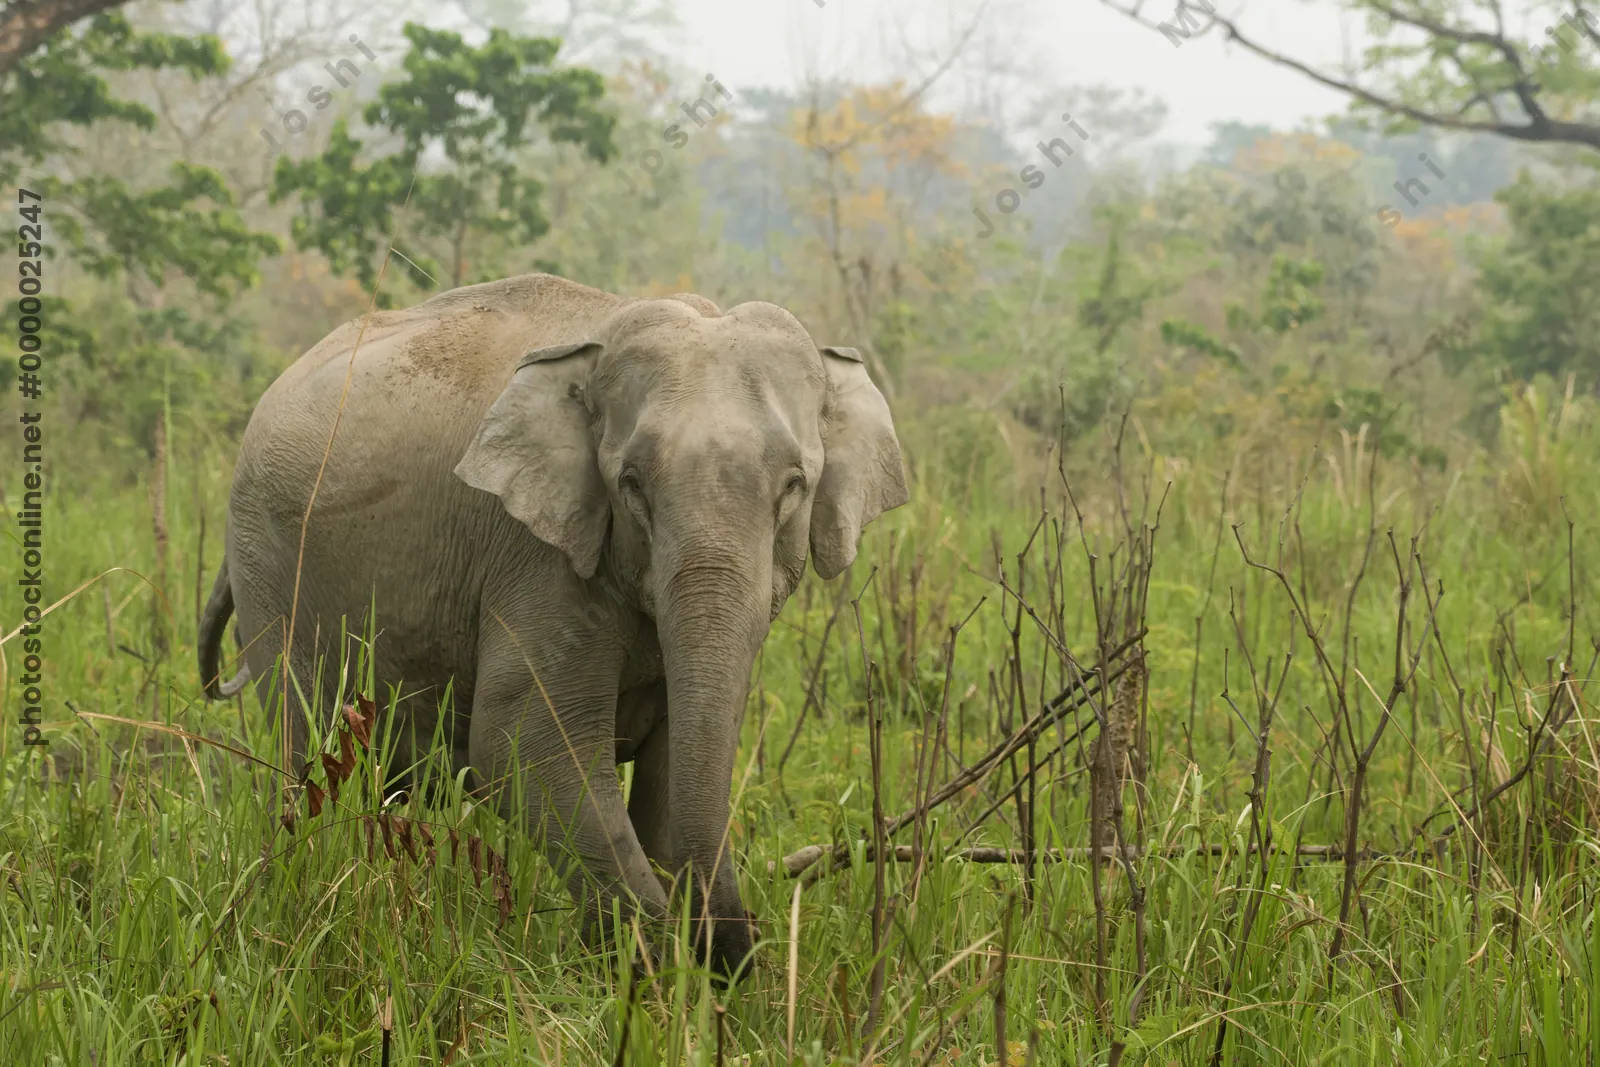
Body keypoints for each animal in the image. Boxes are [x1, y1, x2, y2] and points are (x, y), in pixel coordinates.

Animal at [197, 272, 908, 977]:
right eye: (631, 484)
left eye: (794, 485)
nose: (737, 950)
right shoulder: (537, 556)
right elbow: (522, 741)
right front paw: (645, 970)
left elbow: (669, 773)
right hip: (270, 575)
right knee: (306, 756)